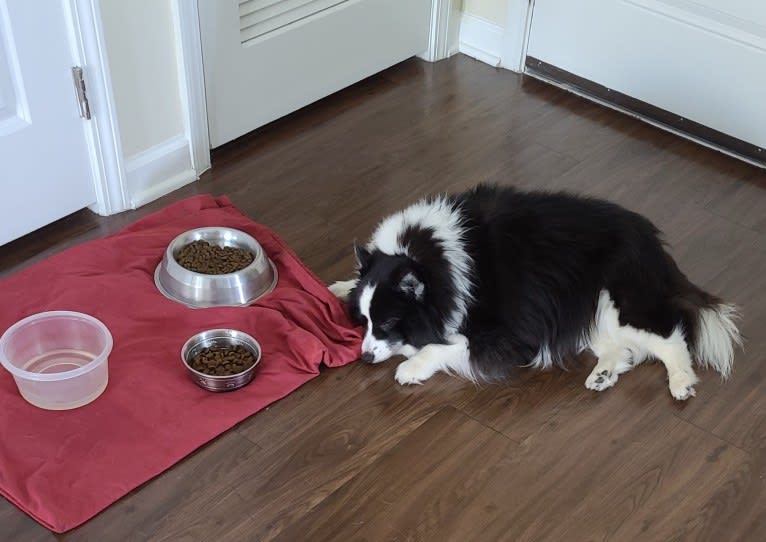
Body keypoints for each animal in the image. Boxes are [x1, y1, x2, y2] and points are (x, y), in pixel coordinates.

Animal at [330, 185, 744, 402]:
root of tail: (655, 247)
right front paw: (339, 286)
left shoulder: (502, 335)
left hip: (615, 300)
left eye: (388, 322)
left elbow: (440, 346)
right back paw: (602, 375)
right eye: (363, 320)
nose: (365, 357)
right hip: (584, 309)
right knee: (623, 349)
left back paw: (681, 383)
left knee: (669, 336)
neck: (433, 262)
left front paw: (410, 368)